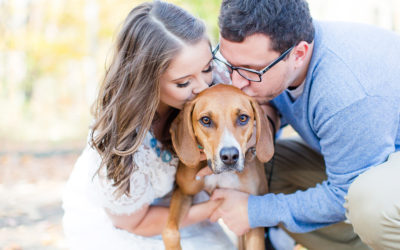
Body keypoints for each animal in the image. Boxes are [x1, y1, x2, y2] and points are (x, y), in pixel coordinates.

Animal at [162, 84, 276, 250]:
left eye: (243, 118)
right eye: (206, 120)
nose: (230, 156)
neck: (221, 175)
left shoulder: (249, 216)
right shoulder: (183, 192)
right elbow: (169, 231)